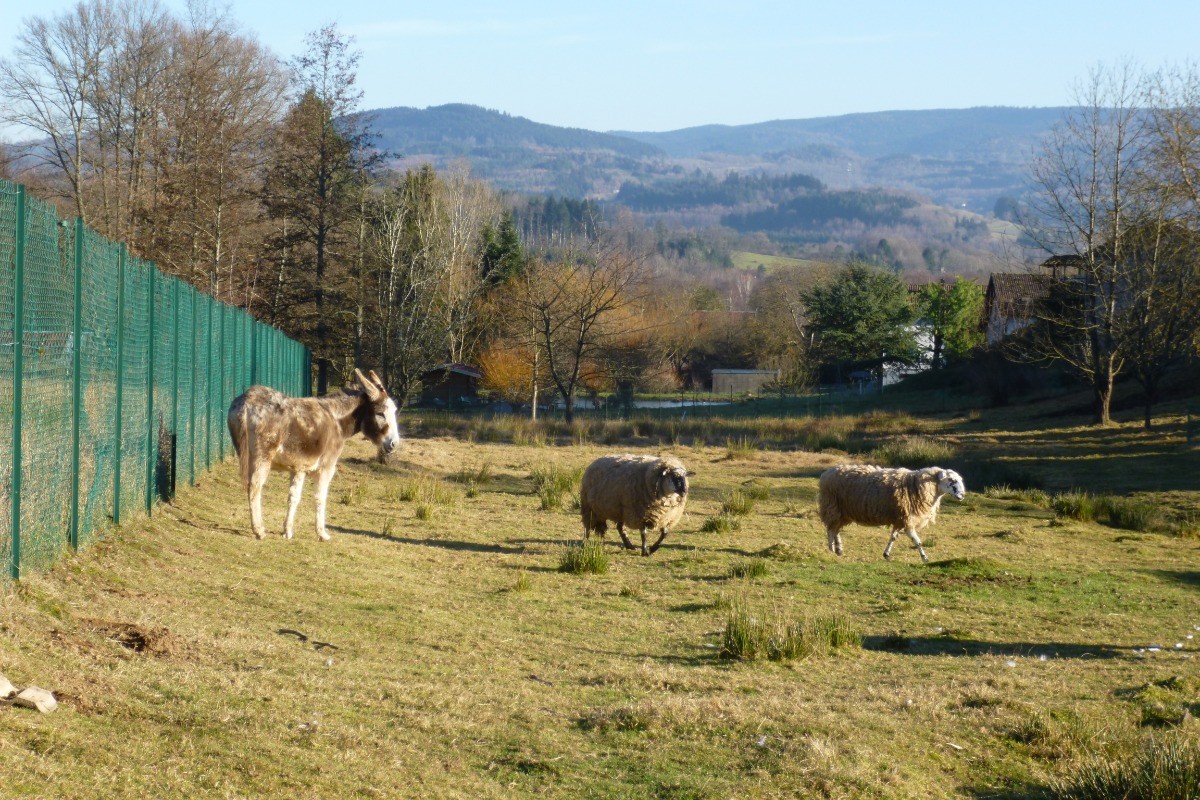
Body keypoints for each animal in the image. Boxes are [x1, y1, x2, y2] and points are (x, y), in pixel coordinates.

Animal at [817, 464, 966, 562]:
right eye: (952, 480)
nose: (962, 495)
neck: (919, 486)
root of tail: (827, 473)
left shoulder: (900, 519)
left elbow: (893, 537)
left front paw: (886, 554)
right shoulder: (908, 520)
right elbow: (917, 541)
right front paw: (925, 558)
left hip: (842, 512)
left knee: (836, 530)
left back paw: (839, 549)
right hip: (832, 507)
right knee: (830, 530)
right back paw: (831, 549)